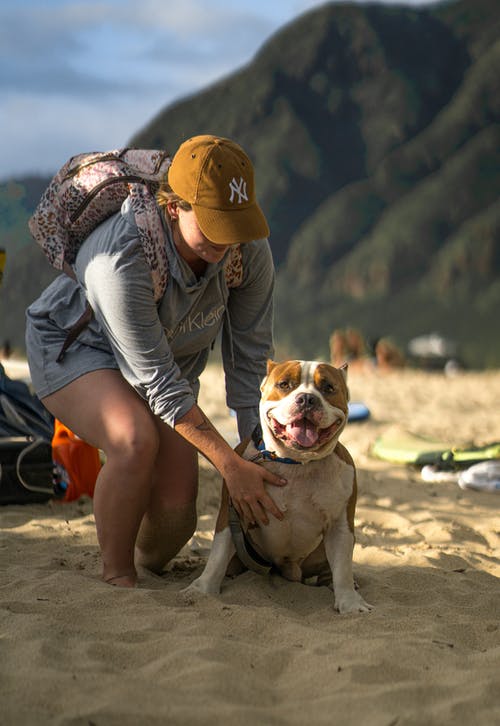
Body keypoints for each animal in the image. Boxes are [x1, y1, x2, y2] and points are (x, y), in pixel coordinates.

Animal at [187, 360, 372, 616]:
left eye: (328, 387)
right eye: (285, 384)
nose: (307, 399)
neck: (295, 462)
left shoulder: (340, 525)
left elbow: (343, 568)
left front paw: (350, 603)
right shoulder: (231, 511)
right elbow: (218, 554)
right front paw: (203, 590)